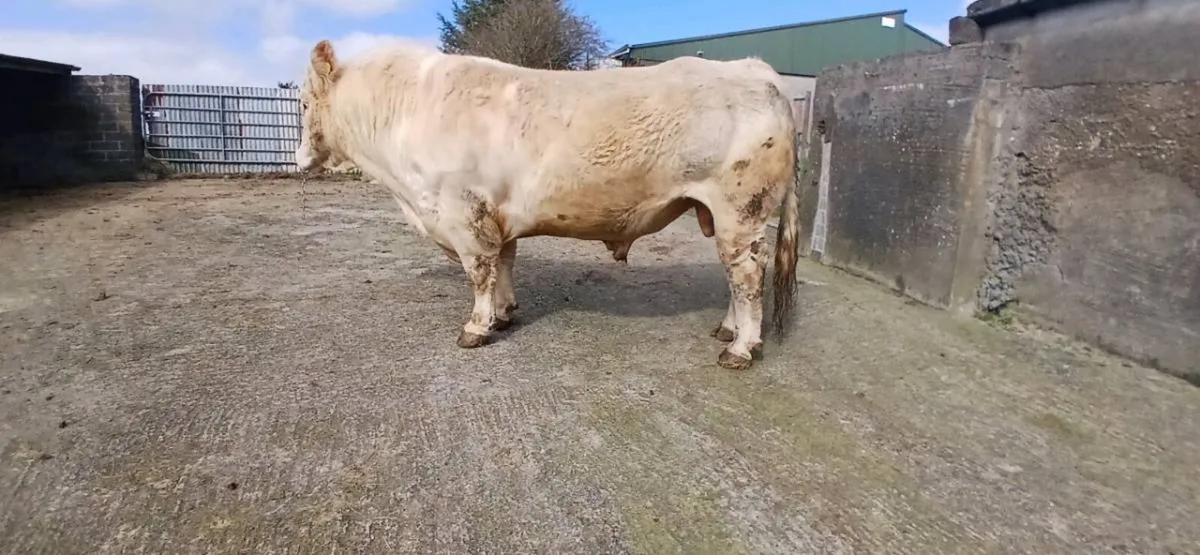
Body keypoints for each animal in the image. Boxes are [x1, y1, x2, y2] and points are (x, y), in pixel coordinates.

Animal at [294, 39, 800, 370]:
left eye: (300, 103)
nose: (297, 157)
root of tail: (754, 69)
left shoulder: (464, 214)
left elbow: (480, 272)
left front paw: (476, 328)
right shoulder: (494, 217)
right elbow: (504, 264)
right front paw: (503, 314)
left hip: (741, 209)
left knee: (747, 276)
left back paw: (740, 349)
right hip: (726, 215)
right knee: (739, 276)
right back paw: (729, 330)